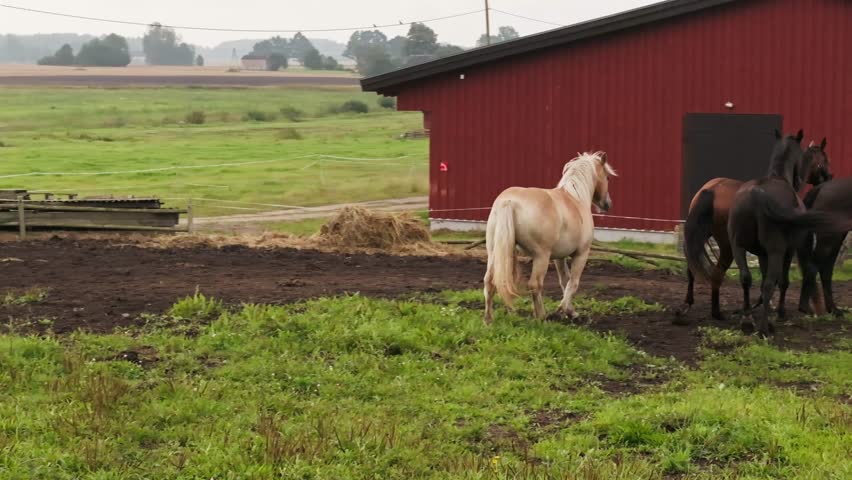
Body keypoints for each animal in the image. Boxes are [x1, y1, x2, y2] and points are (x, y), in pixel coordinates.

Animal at [483, 152, 617, 324]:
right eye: (608, 177)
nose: (607, 204)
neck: (576, 199)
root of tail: (509, 201)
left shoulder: (559, 257)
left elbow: (564, 281)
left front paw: (571, 311)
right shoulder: (581, 254)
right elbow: (573, 283)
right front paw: (564, 310)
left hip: (494, 252)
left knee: (489, 281)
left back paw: (488, 320)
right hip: (541, 256)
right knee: (535, 284)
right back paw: (541, 316)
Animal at [678, 137, 833, 322]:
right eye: (825, 159)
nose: (829, 177)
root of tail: (711, 190)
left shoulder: (763, 251)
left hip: (699, 238)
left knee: (692, 270)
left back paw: (688, 305)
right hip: (727, 247)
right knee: (717, 274)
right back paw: (717, 312)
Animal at [797, 176, 852, 316]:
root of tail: (821, 187)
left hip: (837, 236)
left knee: (826, 270)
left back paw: (833, 309)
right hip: (829, 237)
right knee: (814, 267)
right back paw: (806, 308)